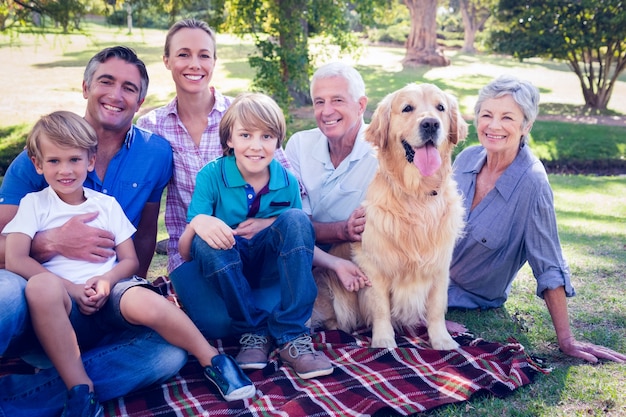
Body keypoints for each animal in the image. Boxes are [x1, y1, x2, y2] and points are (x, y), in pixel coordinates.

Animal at [310, 83, 466, 350]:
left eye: (440, 107)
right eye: (407, 108)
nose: (431, 124)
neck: (416, 195)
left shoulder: (439, 265)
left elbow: (436, 308)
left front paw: (442, 340)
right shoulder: (374, 266)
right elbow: (381, 308)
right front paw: (384, 341)